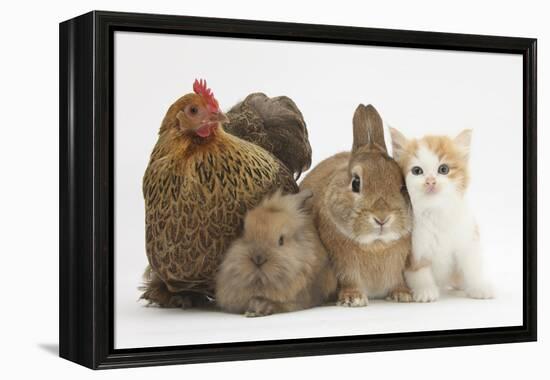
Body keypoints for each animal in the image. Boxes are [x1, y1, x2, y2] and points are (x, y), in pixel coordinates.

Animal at [302, 104, 414, 306]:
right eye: (355, 182)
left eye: (403, 186)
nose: (382, 217)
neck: (375, 245)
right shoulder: (343, 265)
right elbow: (349, 279)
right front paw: (352, 298)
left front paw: (403, 294)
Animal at [392, 127, 496, 302]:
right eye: (417, 171)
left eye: (444, 169)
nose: (430, 181)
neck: (435, 212)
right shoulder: (413, 248)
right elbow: (419, 271)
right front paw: (425, 290)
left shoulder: (468, 237)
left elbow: (472, 264)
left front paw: (479, 287)